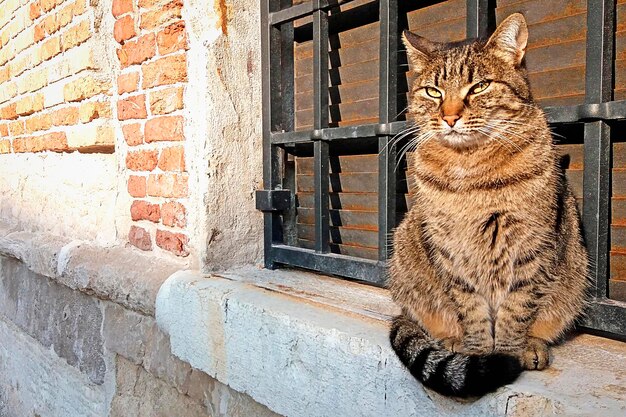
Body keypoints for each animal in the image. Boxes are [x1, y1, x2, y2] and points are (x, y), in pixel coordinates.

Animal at [388, 13, 588, 396]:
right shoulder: (452, 253)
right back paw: (452, 340)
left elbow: (516, 310)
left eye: (479, 87)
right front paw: (480, 353)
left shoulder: (530, 248)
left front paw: (508, 352)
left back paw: (533, 346)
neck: (469, 168)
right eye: (433, 91)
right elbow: (472, 311)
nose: (450, 117)